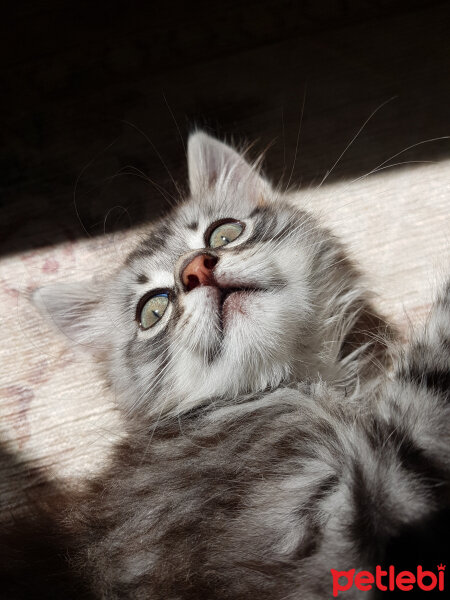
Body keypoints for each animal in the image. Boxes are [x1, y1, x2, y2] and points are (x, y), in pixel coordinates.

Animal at [3, 134, 450, 596]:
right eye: (153, 310)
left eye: (224, 233)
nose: (195, 269)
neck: (308, 387)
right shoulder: (336, 531)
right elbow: (432, 378)